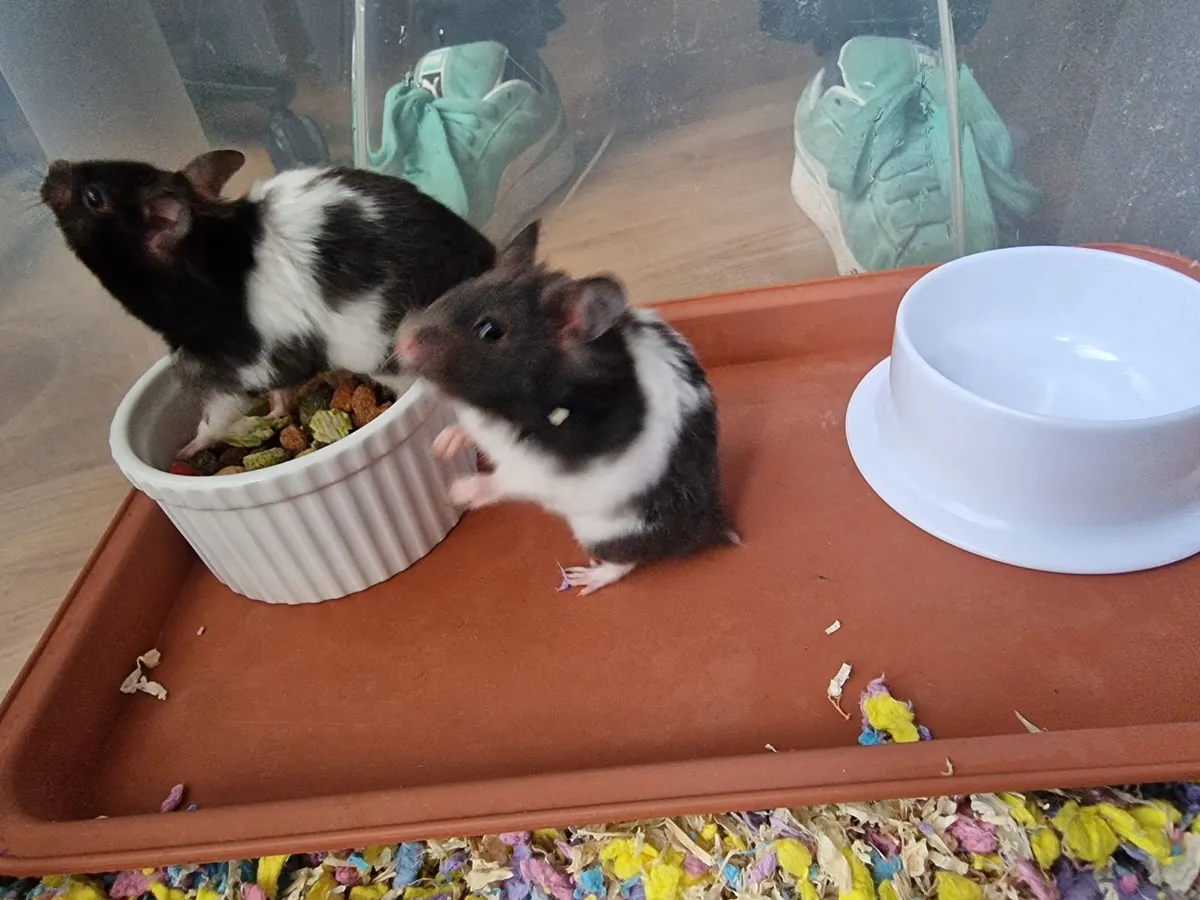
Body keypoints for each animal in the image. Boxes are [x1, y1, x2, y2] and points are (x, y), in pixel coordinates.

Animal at [41, 150, 496, 457]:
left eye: (93, 197)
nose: (53, 166)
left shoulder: (232, 373)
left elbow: (214, 419)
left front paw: (187, 451)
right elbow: (281, 391)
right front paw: (277, 415)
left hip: (380, 352)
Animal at [397, 222, 736, 595]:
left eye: (491, 330)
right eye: (462, 287)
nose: (402, 340)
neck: (499, 409)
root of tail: (715, 524)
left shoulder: (537, 471)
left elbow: (502, 481)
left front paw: (456, 492)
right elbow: (466, 430)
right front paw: (440, 445)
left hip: (605, 530)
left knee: (629, 560)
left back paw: (585, 579)